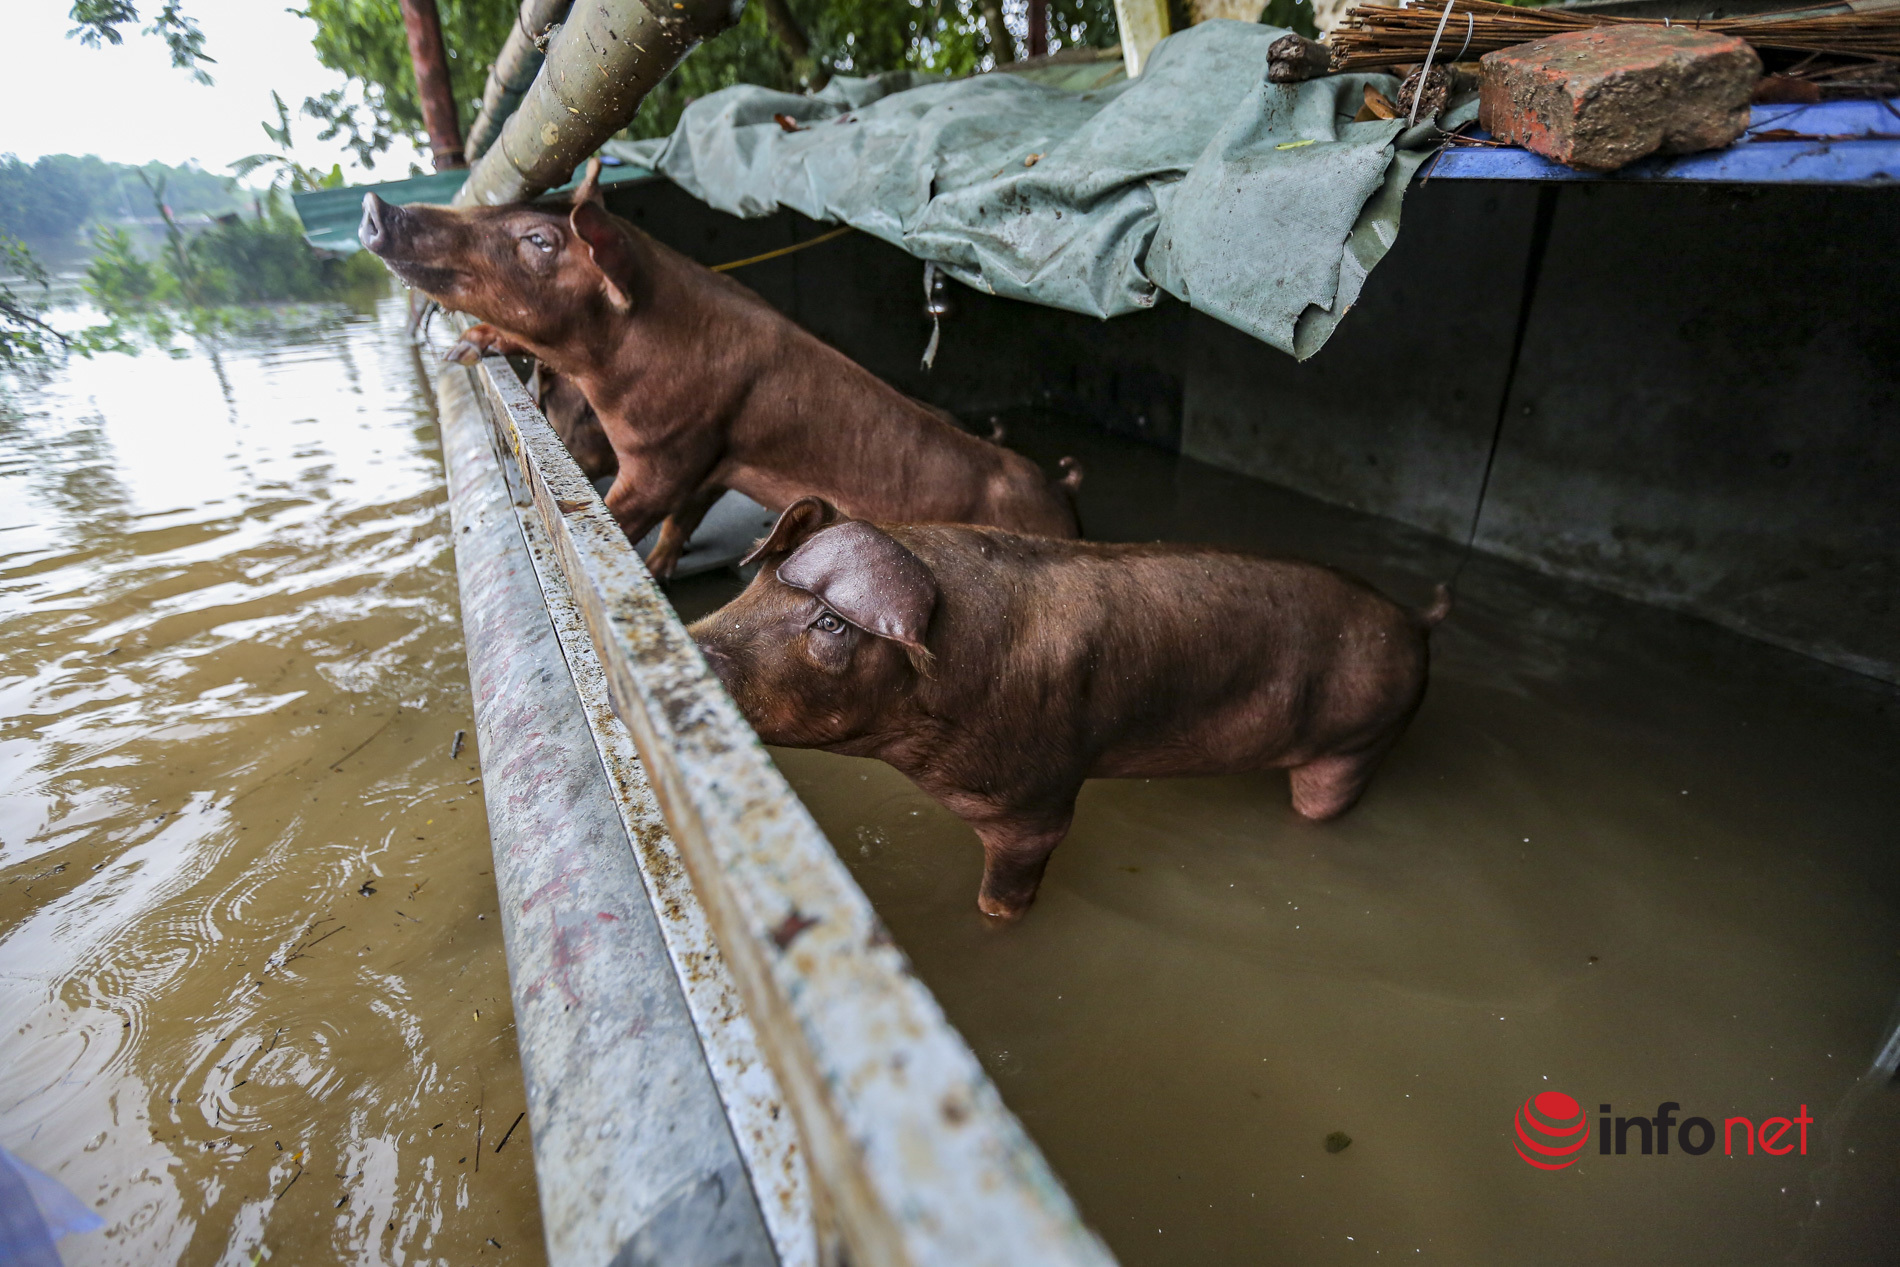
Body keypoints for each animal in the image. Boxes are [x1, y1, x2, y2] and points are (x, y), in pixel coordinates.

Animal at [353, 166, 1071, 577]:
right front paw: (462, 350)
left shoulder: (667, 449)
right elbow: (682, 519)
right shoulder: (713, 454)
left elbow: (628, 514)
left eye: (539, 240)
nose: (376, 207)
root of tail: (1063, 499)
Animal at [691, 493, 1444, 923]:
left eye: (830, 623)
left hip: (1362, 737)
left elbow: (1012, 881)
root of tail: (1413, 619)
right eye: (760, 577)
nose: (695, 646)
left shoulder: (1030, 800)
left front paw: (995, 920)